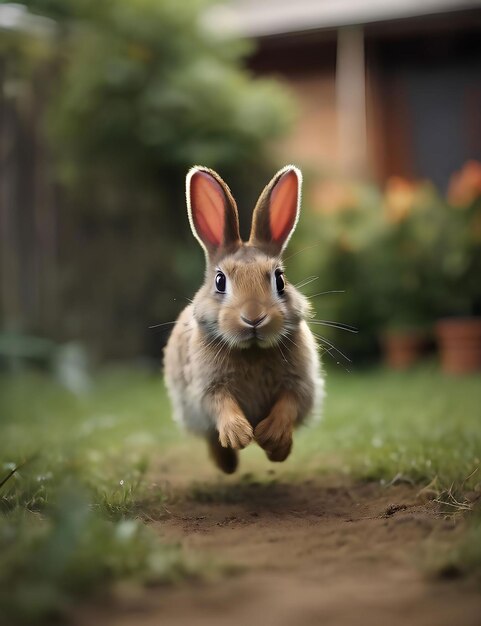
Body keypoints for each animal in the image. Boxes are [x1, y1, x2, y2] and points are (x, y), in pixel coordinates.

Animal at [163, 163, 324, 470]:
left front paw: (269, 434)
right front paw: (239, 435)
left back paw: (277, 452)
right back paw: (228, 464)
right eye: (220, 281)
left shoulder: (300, 384)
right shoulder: (206, 387)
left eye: (279, 280)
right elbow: (220, 403)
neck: (252, 351)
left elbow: (289, 403)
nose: (254, 317)